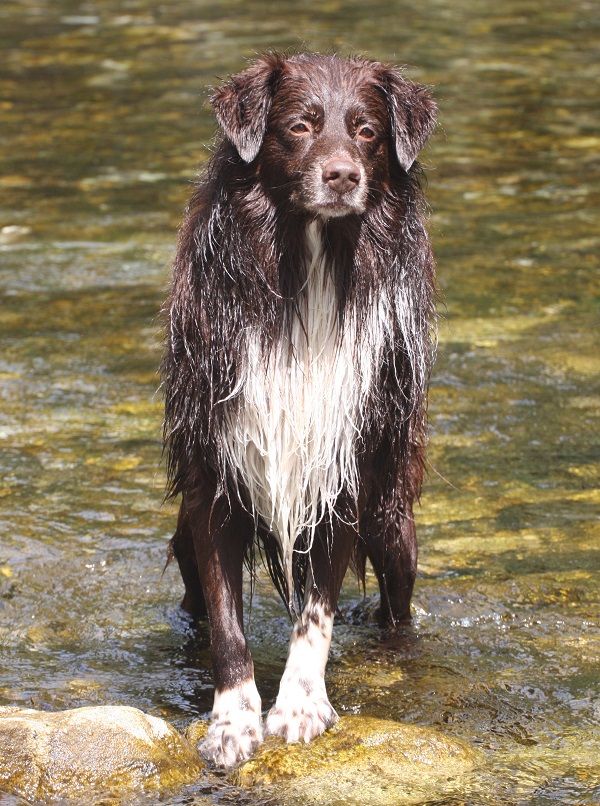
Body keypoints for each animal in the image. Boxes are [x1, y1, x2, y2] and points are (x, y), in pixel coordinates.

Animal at [162, 52, 438, 772]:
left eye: (367, 130)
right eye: (300, 126)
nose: (343, 175)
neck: (309, 265)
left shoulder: (341, 474)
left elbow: (316, 613)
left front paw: (300, 706)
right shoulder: (214, 483)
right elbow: (227, 624)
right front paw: (233, 720)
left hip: (392, 520)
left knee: (397, 609)